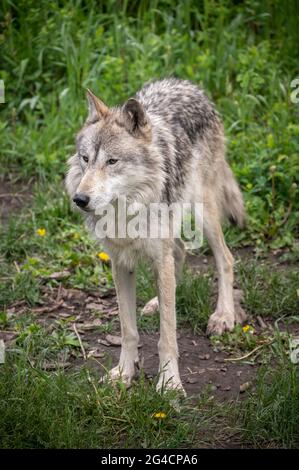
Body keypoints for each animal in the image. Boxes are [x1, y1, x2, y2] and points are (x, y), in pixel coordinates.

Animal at [67, 78, 247, 392]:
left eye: (112, 161)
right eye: (85, 159)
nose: (80, 199)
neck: (126, 210)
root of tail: (187, 84)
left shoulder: (159, 257)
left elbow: (168, 336)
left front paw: (170, 384)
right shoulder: (120, 263)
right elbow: (128, 330)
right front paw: (124, 373)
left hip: (203, 211)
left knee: (225, 257)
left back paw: (223, 316)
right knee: (180, 252)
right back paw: (155, 302)